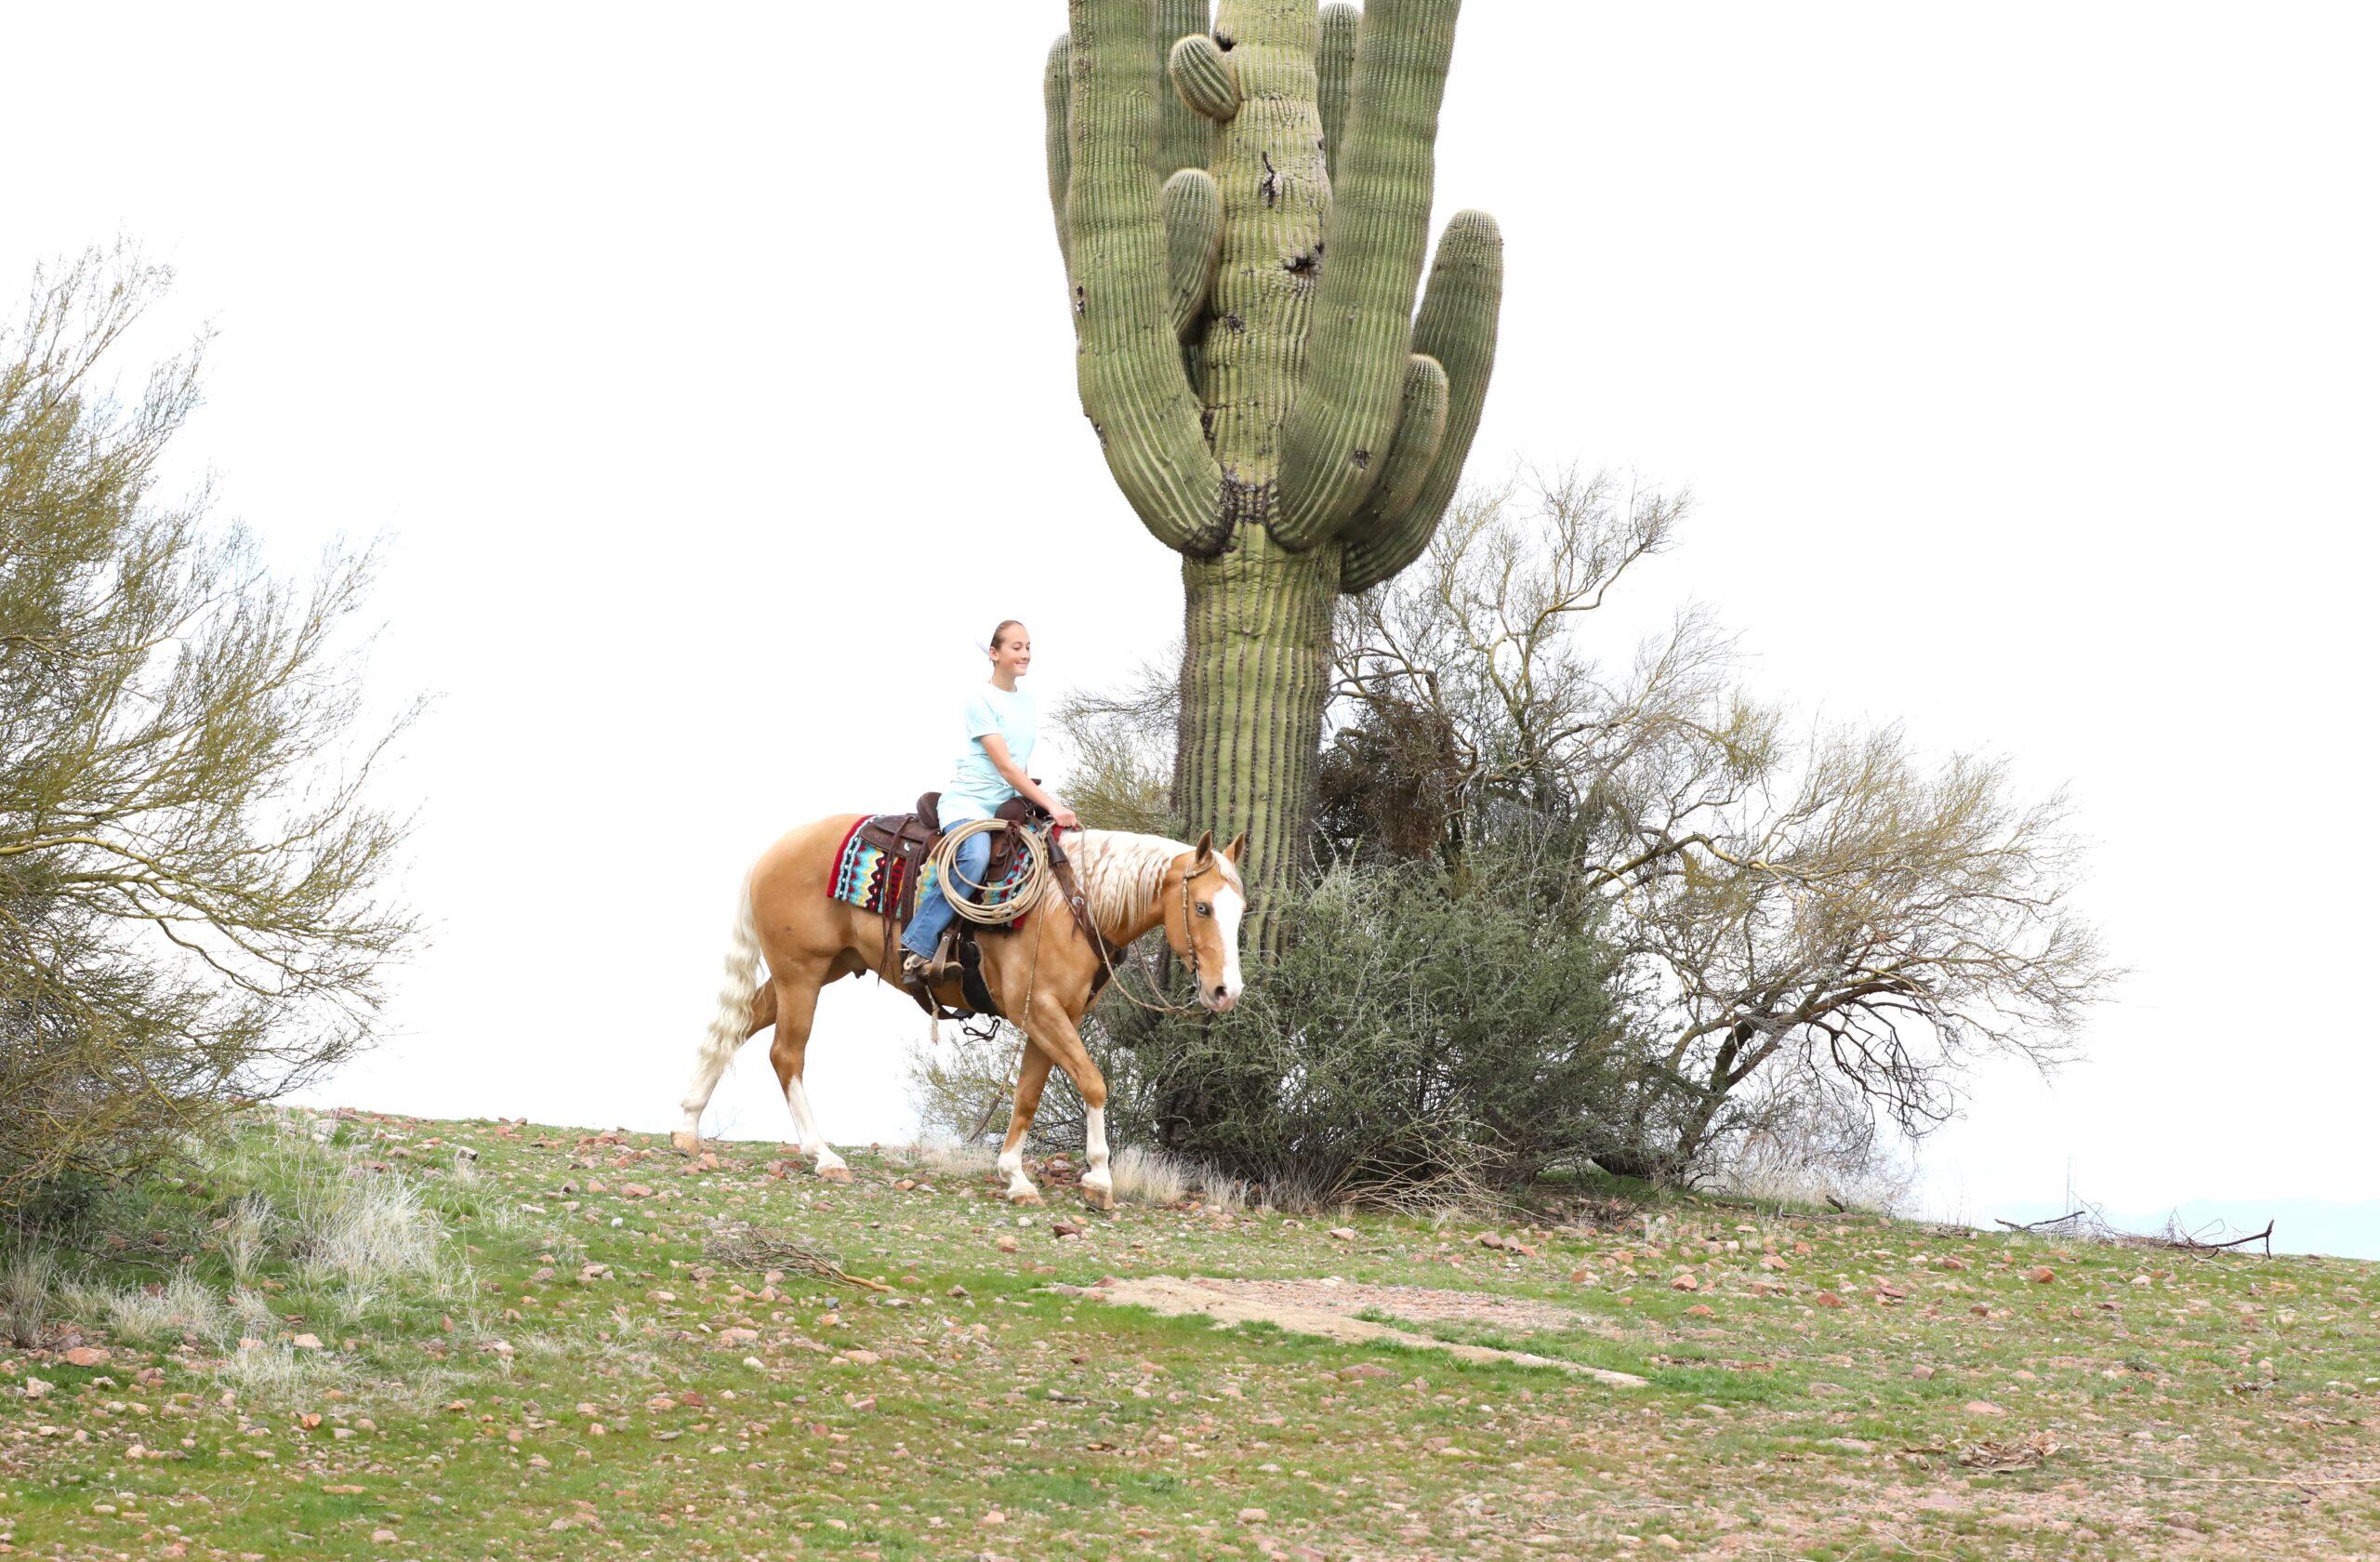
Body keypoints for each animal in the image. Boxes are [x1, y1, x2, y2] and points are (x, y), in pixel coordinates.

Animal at [670, 817, 1248, 1208]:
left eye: (1241, 910)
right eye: (1201, 907)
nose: (1225, 991)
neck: (1075, 903)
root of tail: (773, 851)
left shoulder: (1054, 1017)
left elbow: (1027, 1095)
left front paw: (1015, 1176)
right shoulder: (1040, 1011)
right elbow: (1093, 1081)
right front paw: (1099, 1180)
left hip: (819, 970)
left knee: (736, 1026)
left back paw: (688, 1126)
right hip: (801, 975)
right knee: (786, 1054)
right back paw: (823, 1156)